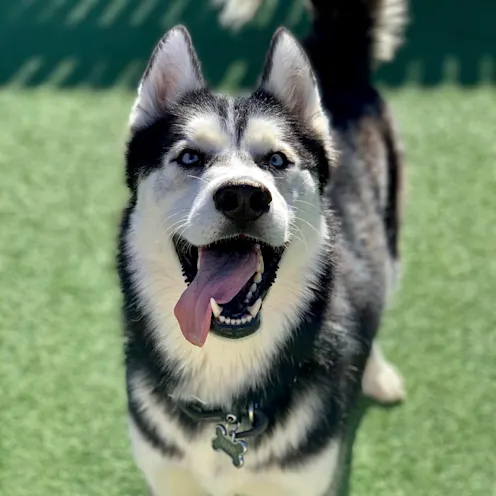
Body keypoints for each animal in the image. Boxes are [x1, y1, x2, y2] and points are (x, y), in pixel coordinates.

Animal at [118, 0, 408, 496]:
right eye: (190, 157)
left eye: (275, 160)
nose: (243, 196)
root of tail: (333, 58)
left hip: (388, 247)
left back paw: (377, 373)